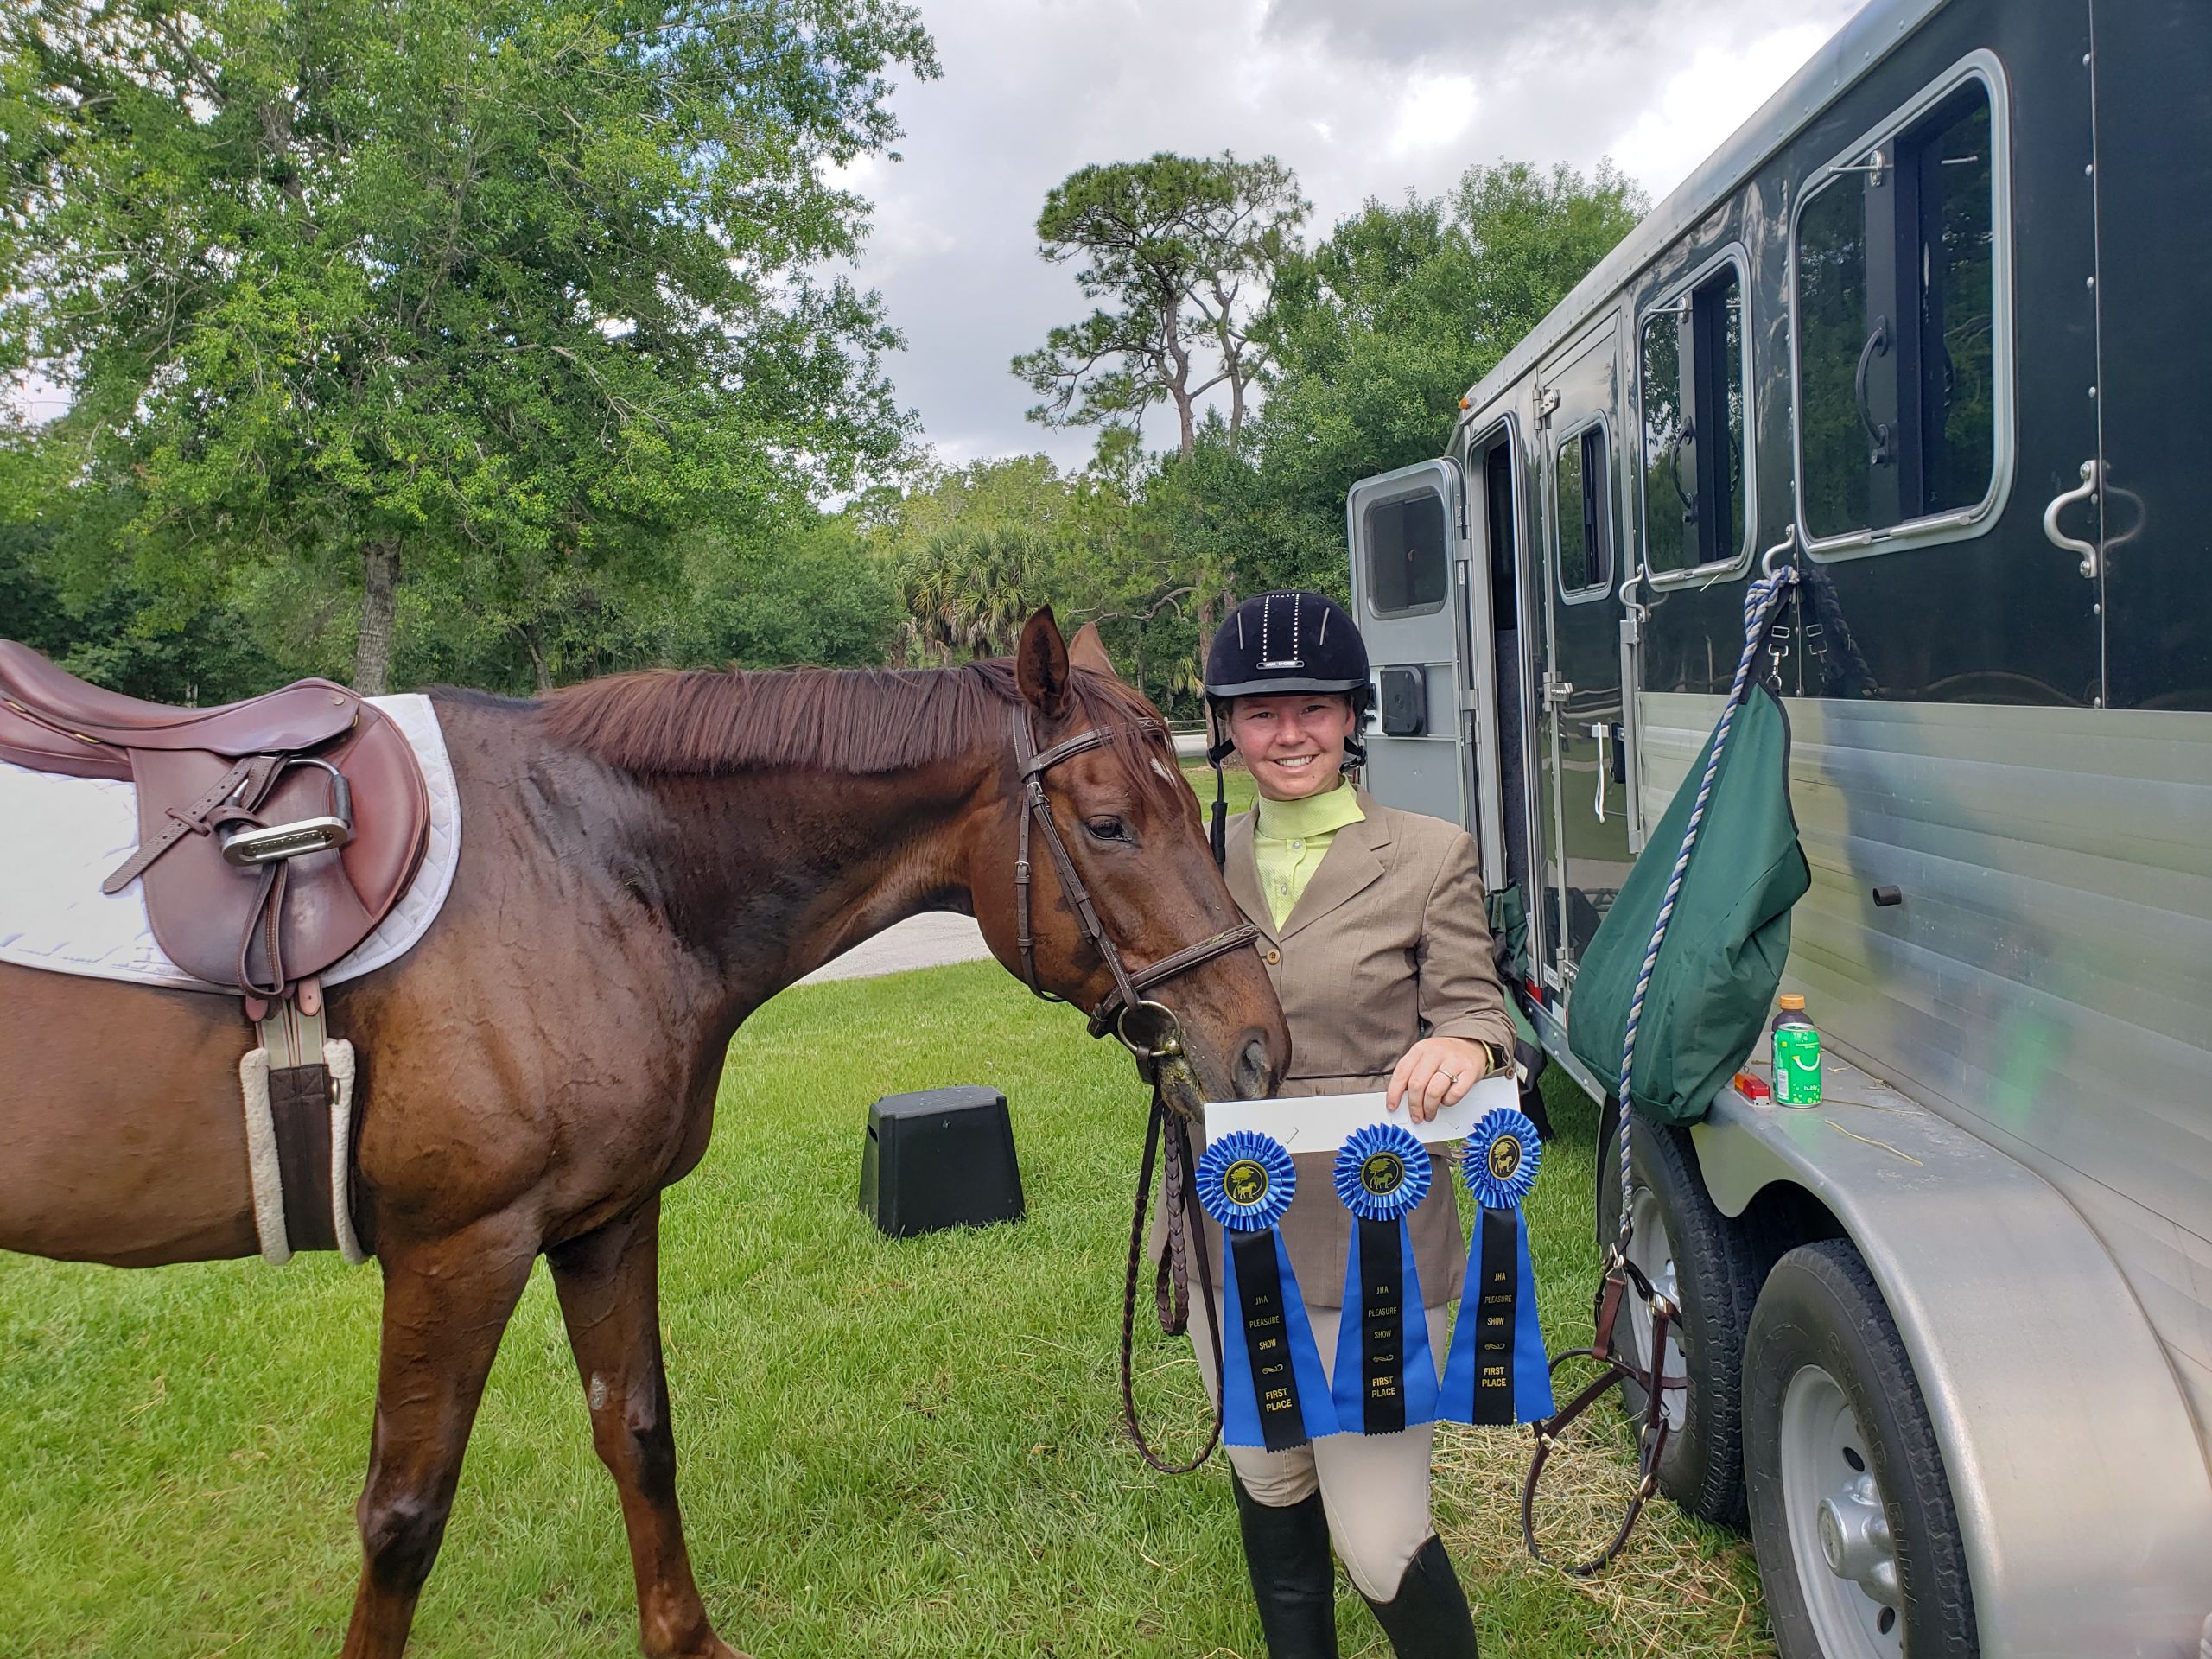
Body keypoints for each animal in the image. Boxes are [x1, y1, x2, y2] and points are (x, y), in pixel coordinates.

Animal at [0, 614, 1292, 1659]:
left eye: (1195, 809)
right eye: (1111, 824)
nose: (1258, 1049)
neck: (580, 867)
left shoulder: (605, 1217)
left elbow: (639, 1434)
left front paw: (684, 1637)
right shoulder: (458, 1250)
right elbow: (404, 1518)